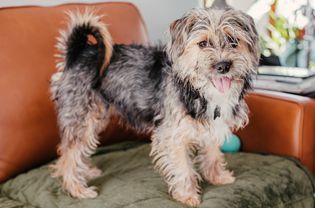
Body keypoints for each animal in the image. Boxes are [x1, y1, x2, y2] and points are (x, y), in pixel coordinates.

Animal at [50, 6, 260, 206]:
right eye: (203, 44)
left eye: (233, 41)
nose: (223, 65)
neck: (196, 89)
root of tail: (78, 53)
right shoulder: (172, 136)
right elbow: (183, 168)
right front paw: (187, 196)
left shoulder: (212, 125)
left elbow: (213, 154)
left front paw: (217, 177)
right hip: (82, 117)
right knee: (69, 155)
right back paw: (77, 188)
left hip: (94, 117)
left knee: (73, 151)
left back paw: (85, 172)